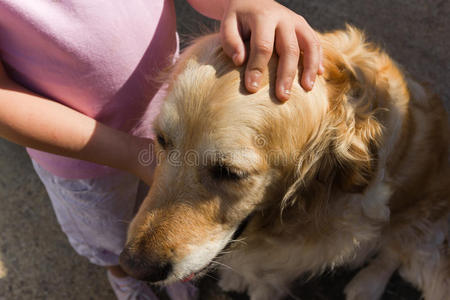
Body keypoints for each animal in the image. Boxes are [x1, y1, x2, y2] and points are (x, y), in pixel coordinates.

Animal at [119, 26, 450, 300]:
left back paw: (367, 285)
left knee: (396, 253)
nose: (133, 267)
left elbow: (268, 280)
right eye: (162, 139)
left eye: (231, 172)